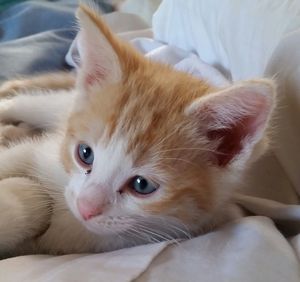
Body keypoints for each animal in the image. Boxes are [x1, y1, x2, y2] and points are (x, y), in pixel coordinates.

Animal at [0, 4, 274, 256]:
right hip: (56, 104)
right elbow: (15, 157)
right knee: (22, 102)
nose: (86, 208)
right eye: (85, 153)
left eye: (142, 185)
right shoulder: (43, 152)